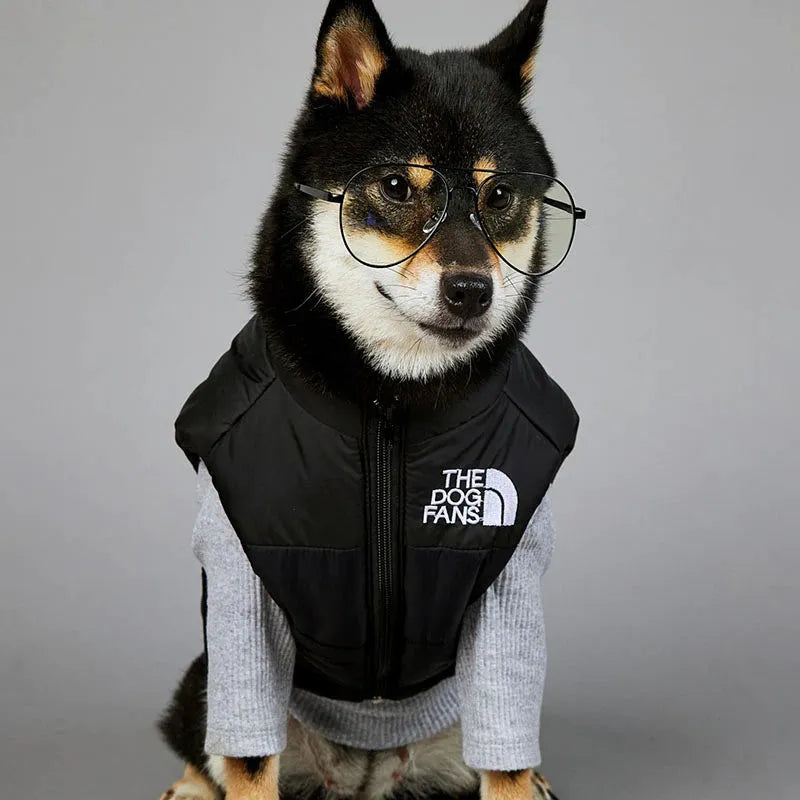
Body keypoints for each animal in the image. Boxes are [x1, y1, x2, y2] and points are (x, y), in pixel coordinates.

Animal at [159, 1, 580, 800]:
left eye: (498, 197)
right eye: (396, 187)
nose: (472, 290)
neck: (388, 403)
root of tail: (363, 776)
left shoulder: (511, 584)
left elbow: (508, 754)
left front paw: (522, 781)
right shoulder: (240, 580)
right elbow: (247, 758)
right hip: (201, 679)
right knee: (207, 746)